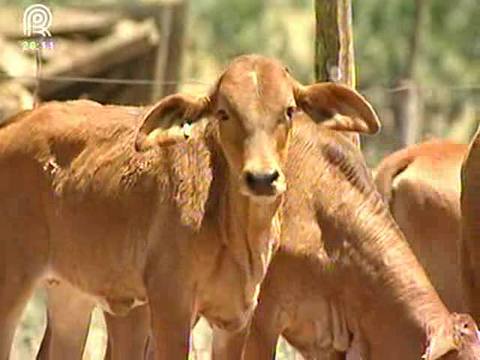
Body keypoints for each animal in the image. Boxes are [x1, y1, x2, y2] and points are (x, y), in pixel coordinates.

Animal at [0, 54, 378, 358]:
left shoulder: (236, 317)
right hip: (13, 281)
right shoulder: (172, 307)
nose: (261, 178)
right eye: (224, 113)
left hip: (69, 295)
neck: (231, 234)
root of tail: (14, 124)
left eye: (288, 111)